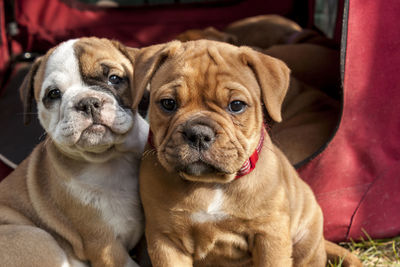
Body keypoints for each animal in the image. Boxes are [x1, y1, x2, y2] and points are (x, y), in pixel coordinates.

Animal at [0, 37, 148, 267]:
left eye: (114, 78)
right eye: (53, 94)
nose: (87, 102)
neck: (111, 158)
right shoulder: (105, 247)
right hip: (38, 239)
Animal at [132, 40, 362, 267]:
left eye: (236, 105)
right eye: (168, 103)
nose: (198, 134)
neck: (210, 183)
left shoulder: (270, 236)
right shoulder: (166, 239)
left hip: (307, 240)